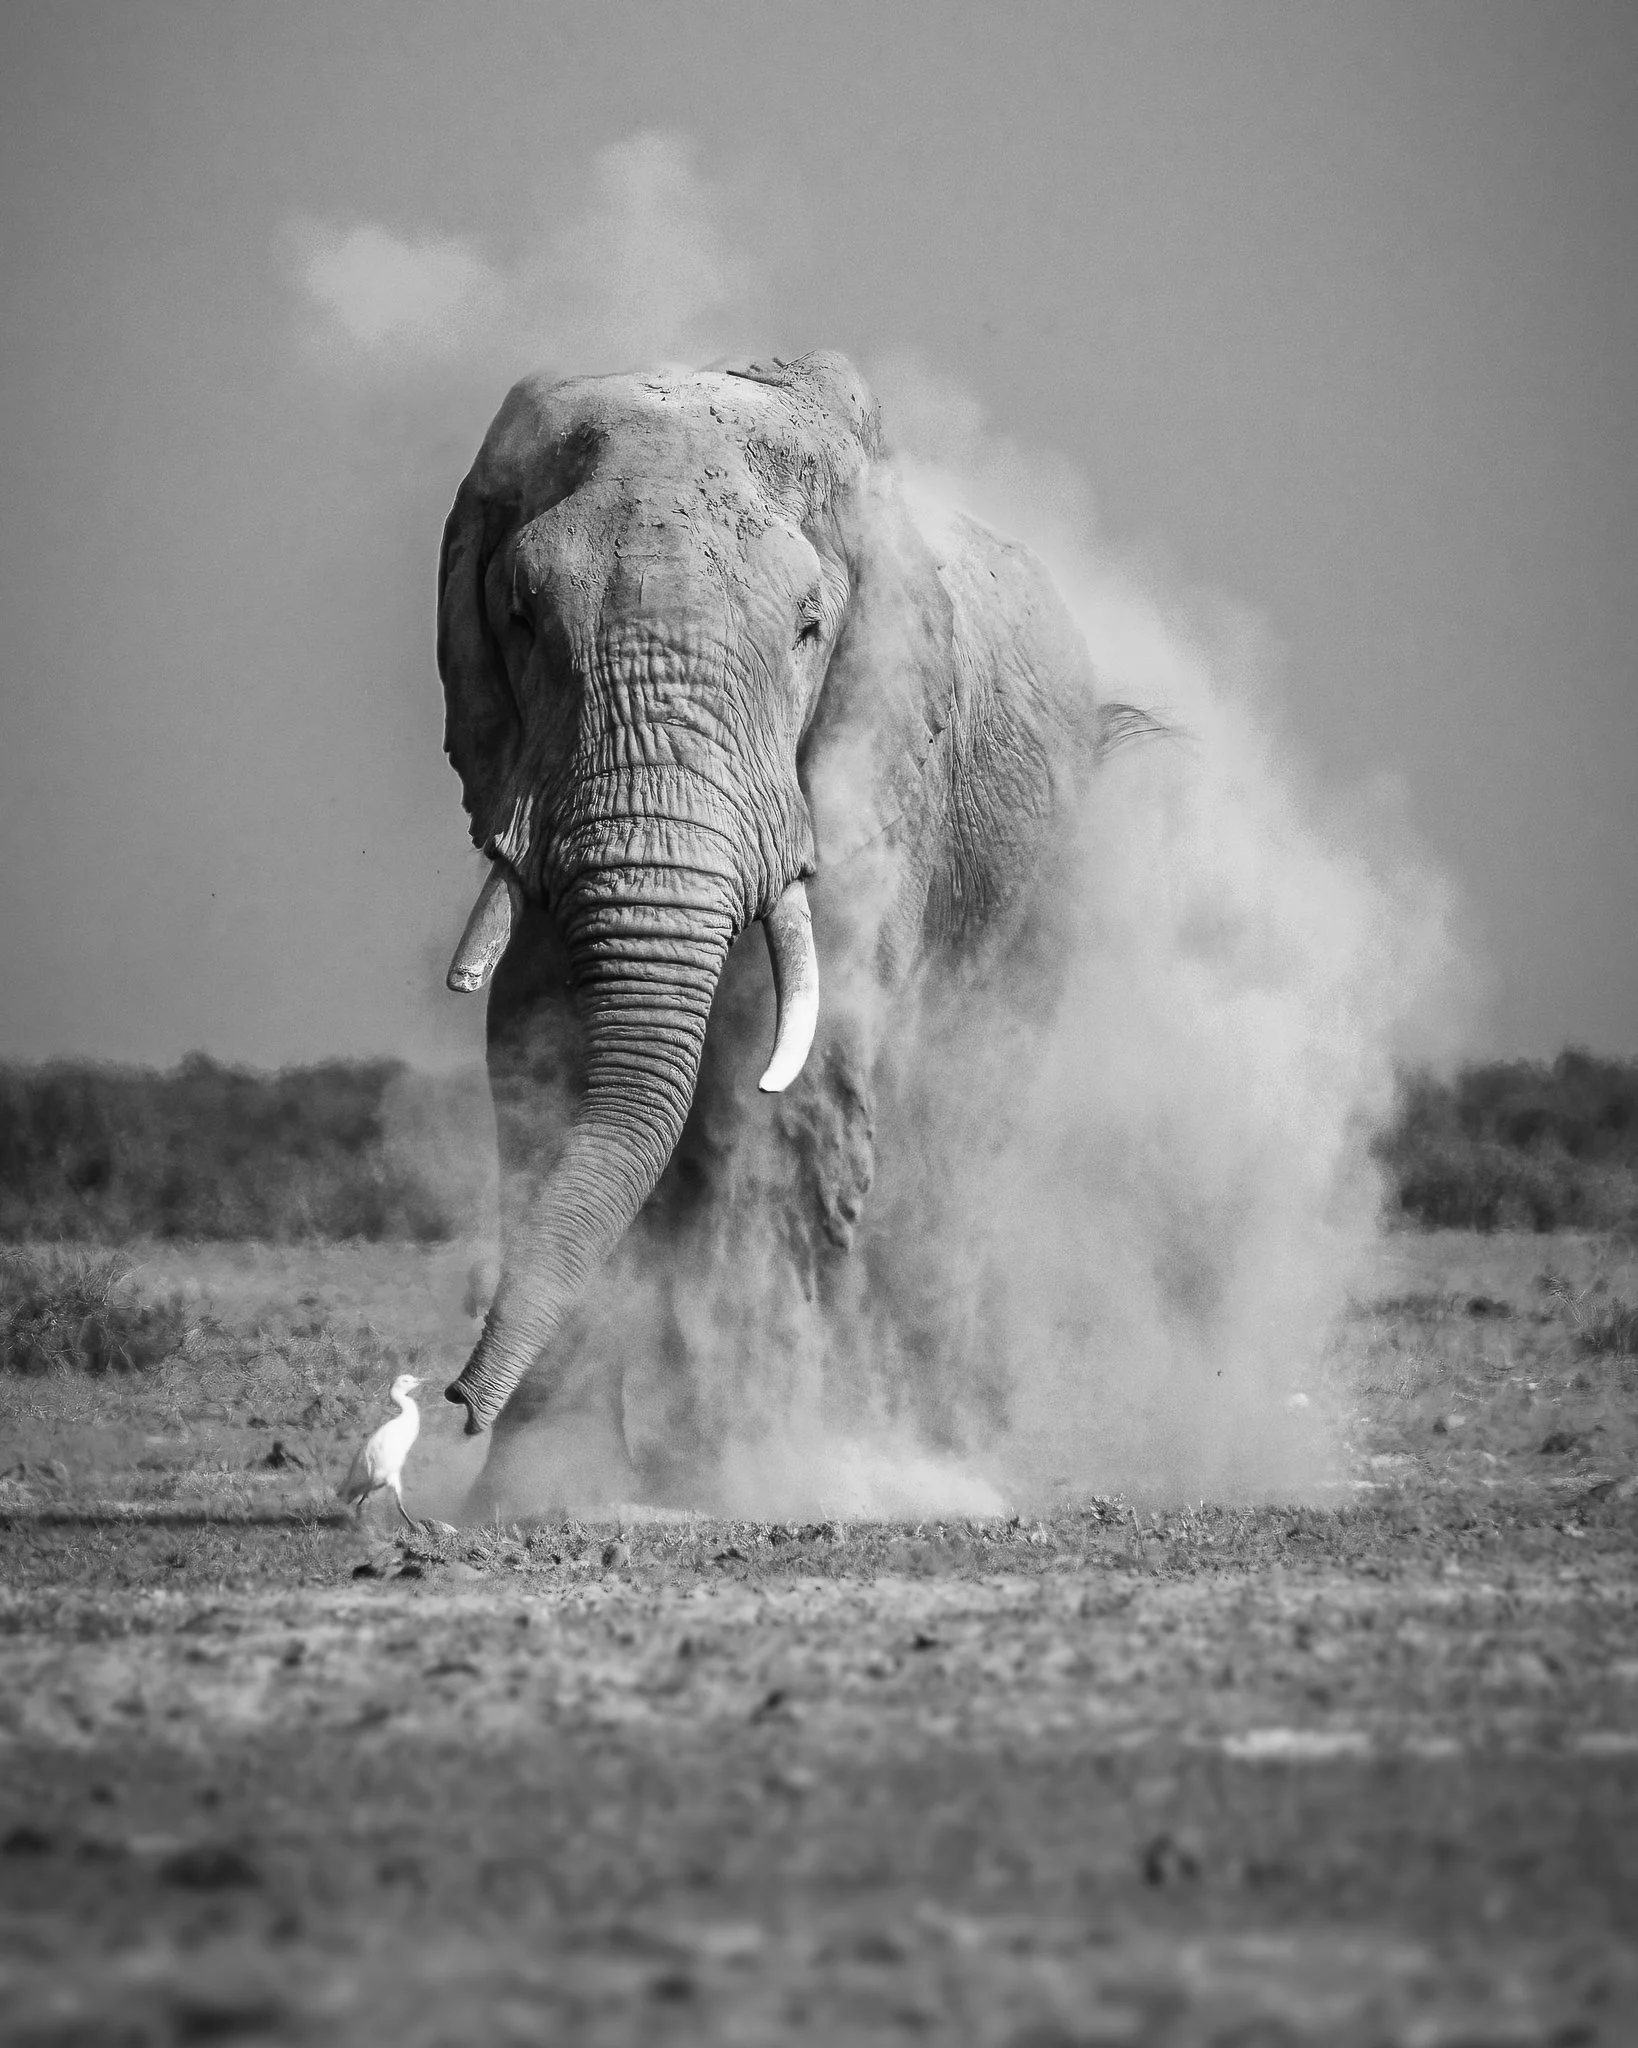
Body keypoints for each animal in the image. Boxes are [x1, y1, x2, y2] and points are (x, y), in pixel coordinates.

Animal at [436, 349, 1151, 1515]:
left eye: (810, 632)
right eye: (523, 620)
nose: (451, 1399)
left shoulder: (884, 763)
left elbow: (802, 1078)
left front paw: (769, 1474)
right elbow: (535, 1044)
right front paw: (546, 1496)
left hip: (1043, 883)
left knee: (960, 1128)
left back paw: (933, 1459)